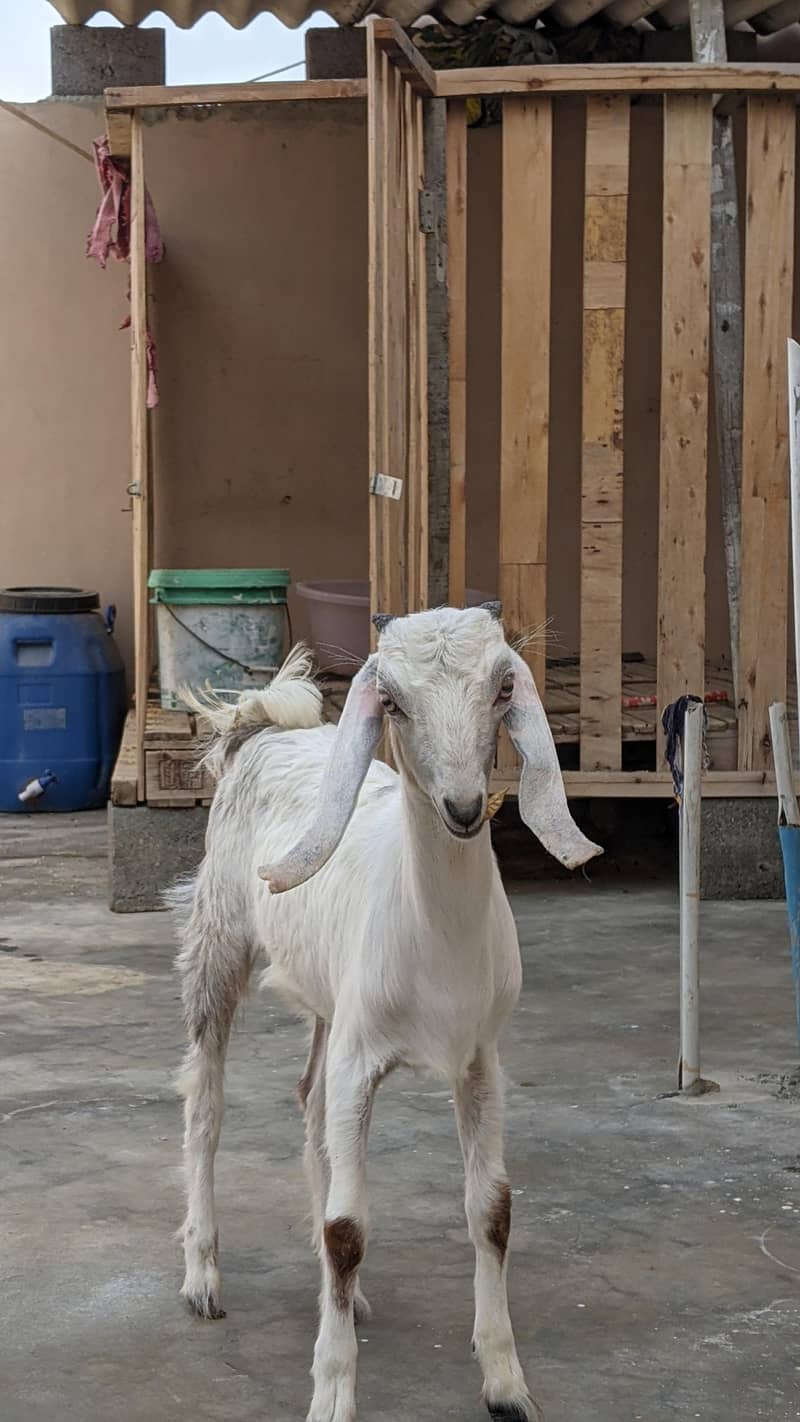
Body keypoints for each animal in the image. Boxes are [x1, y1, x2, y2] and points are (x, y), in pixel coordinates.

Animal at [175, 604, 601, 1422]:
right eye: (393, 701)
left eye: (504, 688)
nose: (463, 808)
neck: (436, 940)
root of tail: (265, 727)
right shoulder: (361, 1054)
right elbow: (349, 1229)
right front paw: (333, 1394)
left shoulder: (478, 1060)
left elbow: (492, 1211)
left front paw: (507, 1385)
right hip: (218, 939)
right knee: (205, 1106)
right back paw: (203, 1279)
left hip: (326, 999)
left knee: (309, 1099)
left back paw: (339, 1295)